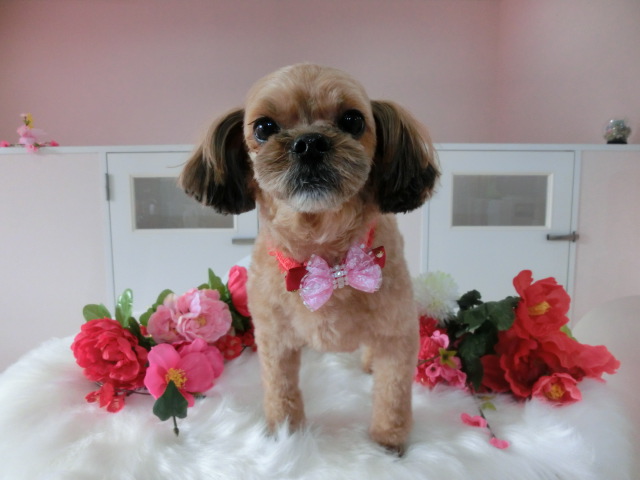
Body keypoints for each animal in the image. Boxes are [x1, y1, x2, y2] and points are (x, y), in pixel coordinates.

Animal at [180, 64, 439, 454]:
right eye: (263, 127)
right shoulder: (273, 340)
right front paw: (284, 434)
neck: (327, 258)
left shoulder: (398, 335)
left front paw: (388, 442)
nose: (309, 143)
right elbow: (281, 390)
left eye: (353, 120)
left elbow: (392, 395)